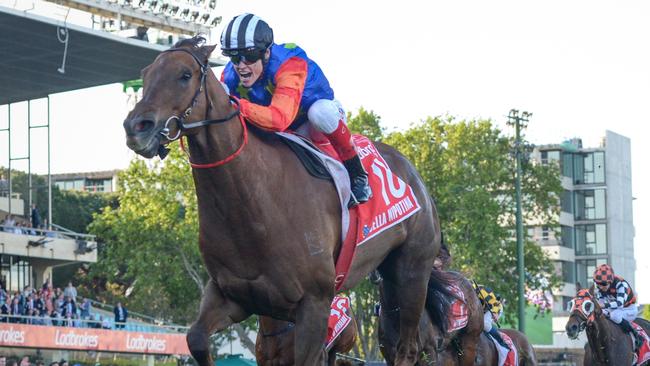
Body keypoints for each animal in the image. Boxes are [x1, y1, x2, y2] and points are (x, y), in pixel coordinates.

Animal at [121, 37, 446, 366]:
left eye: (185, 75)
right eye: (145, 74)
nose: (137, 127)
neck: (255, 205)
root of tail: (412, 170)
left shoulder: (315, 304)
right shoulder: (232, 295)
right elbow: (196, 338)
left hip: (413, 270)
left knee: (408, 348)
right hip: (390, 277)